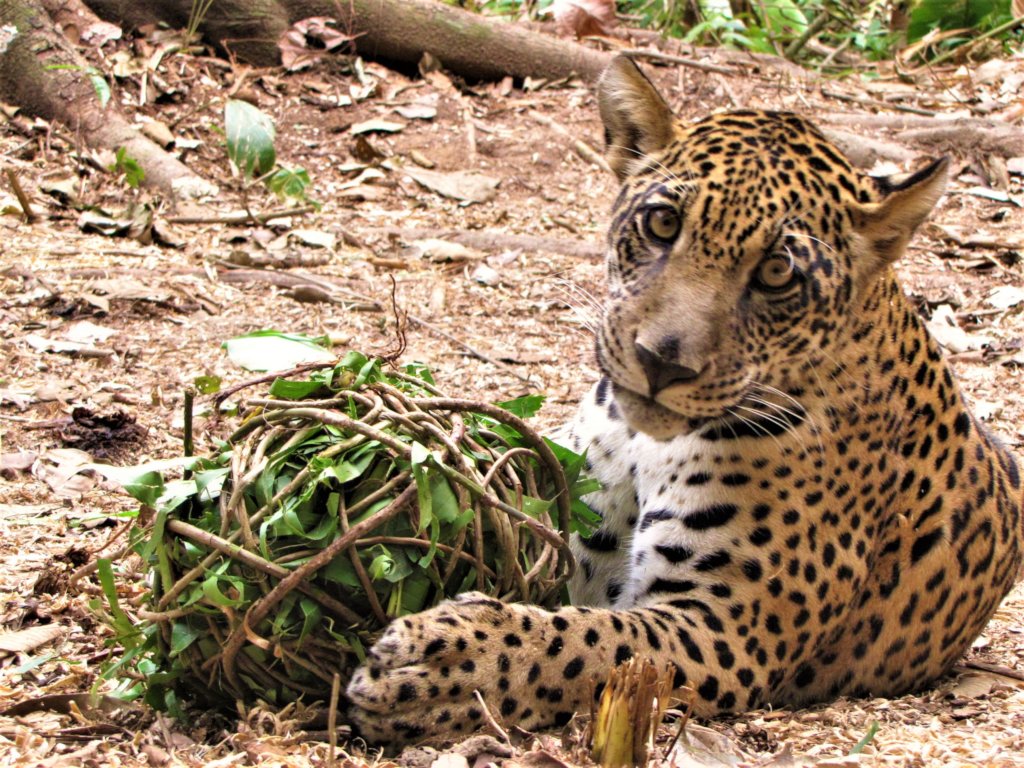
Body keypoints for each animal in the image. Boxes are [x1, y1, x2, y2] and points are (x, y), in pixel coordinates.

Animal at [346, 55, 1023, 746]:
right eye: (663, 224)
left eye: (776, 273)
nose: (660, 361)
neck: (643, 443)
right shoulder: (585, 542)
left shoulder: (726, 626)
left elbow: (590, 645)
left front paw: (448, 665)